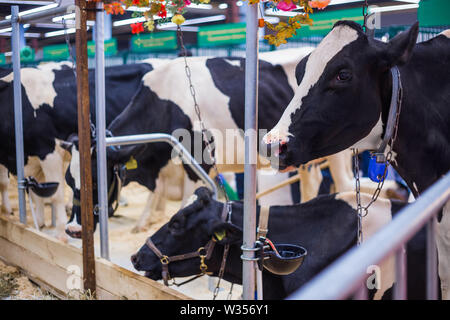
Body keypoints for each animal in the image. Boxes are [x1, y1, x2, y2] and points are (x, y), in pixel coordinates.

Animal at [0, 60, 155, 240]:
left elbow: (56, 195)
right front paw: (37, 224)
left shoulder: (48, 151)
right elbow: (31, 189)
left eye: (95, 183)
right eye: (69, 180)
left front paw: (60, 235)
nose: (74, 229)